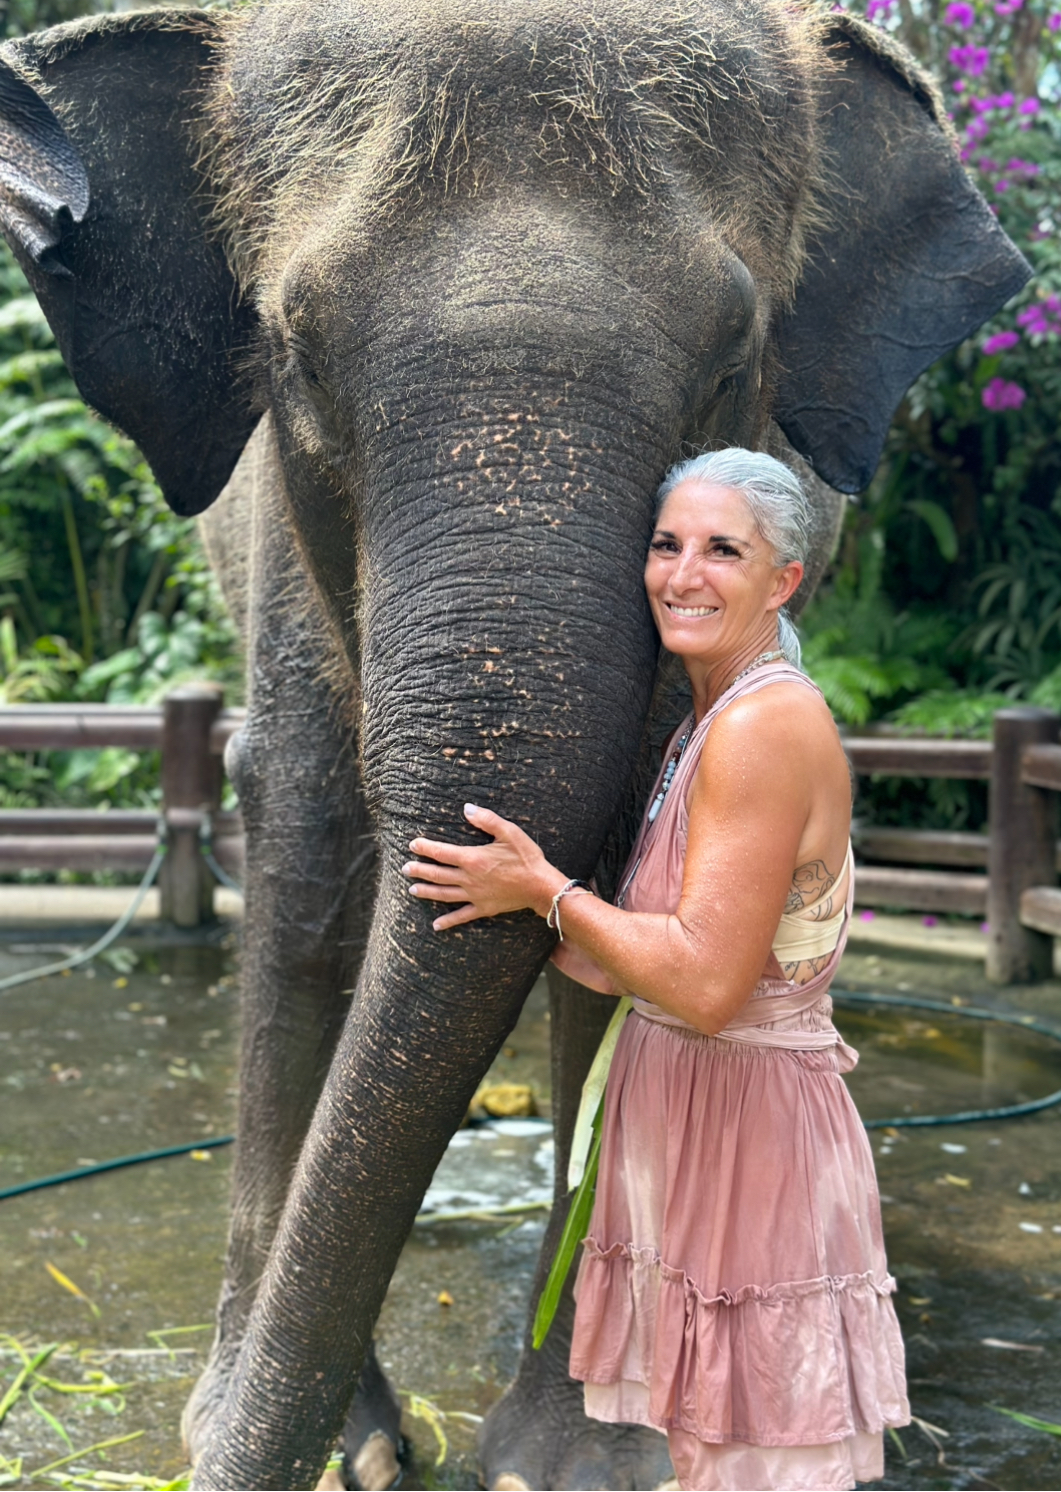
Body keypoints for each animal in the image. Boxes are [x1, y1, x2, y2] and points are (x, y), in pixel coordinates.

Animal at [0, 0, 1028, 1486]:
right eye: (294, 355)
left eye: (733, 362)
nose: (247, 1457)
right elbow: (305, 844)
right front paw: (326, 1440)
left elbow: (637, 885)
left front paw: (577, 1459)